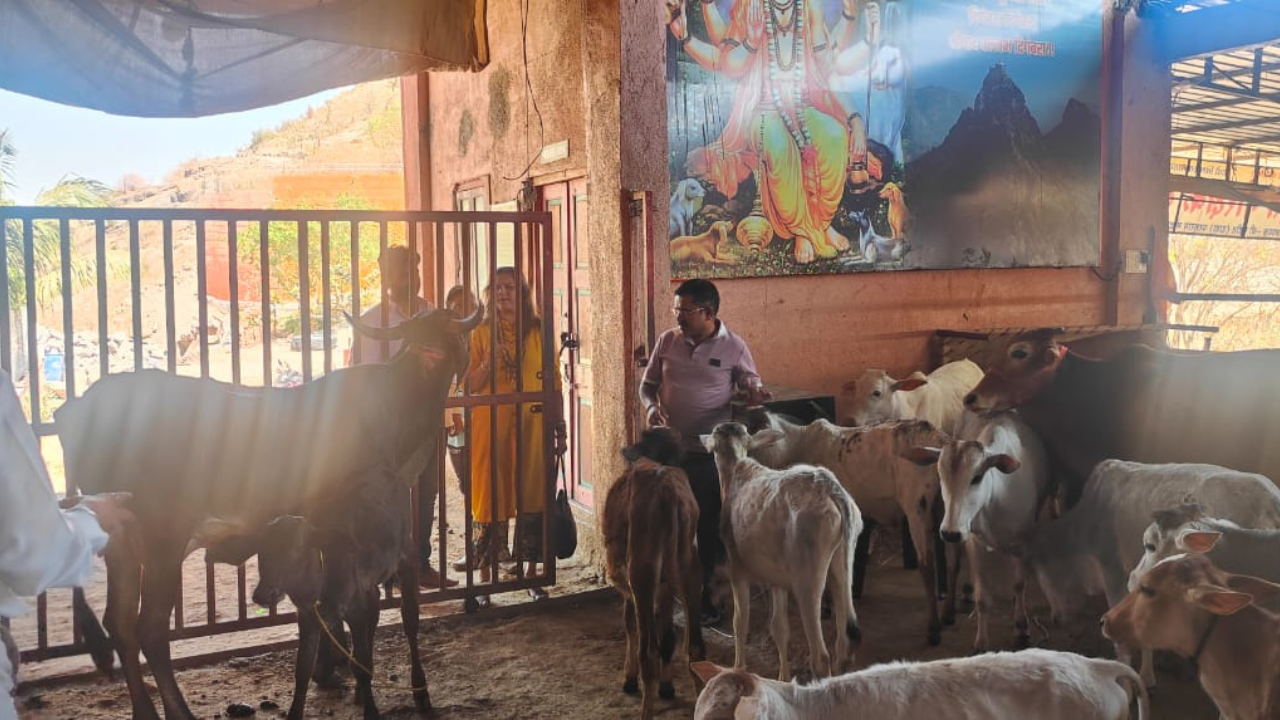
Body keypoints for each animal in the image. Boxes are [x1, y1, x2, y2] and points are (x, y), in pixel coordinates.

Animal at [55, 304, 483, 720]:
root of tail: (77, 410)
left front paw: (330, 670)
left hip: (121, 541)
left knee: (120, 623)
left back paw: (144, 710)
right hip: (164, 539)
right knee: (151, 628)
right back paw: (180, 712)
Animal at [602, 427, 706, 719]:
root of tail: (667, 490)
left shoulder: (629, 586)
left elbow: (630, 625)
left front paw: (629, 680)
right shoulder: (666, 587)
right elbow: (668, 635)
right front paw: (667, 686)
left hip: (642, 575)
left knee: (648, 651)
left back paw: (645, 710)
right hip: (690, 571)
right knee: (694, 647)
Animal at [702, 422, 862, 680]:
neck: (736, 470)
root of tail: (830, 488)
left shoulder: (737, 568)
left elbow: (740, 621)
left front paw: (738, 668)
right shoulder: (776, 580)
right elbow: (779, 628)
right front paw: (783, 678)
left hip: (807, 578)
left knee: (821, 657)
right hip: (843, 564)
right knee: (844, 644)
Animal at [747, 411, 955, 645]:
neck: (800, 441)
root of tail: (940, 440)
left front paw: (826, 608)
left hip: (917, 505)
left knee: (927, 564)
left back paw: (934, 628)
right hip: (947, 503)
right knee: (954, 558)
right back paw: (949, 613)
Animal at [903, 411, 1049, 651]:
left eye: (977, 477)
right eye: (940, 475)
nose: (950, 533)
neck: (996, 498)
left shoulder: (1023, 540)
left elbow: (1019, 584)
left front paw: (1021, 626)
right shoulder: (973, 540)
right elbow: (982, 597)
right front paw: (981, 642)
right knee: (954, 566)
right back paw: (951, 607)